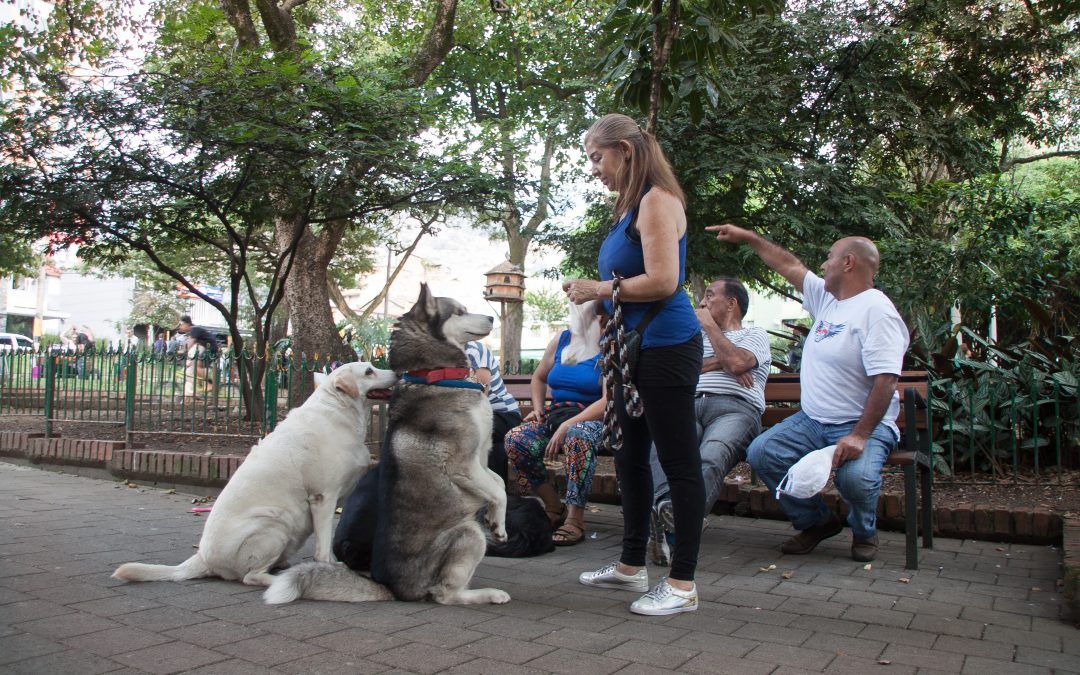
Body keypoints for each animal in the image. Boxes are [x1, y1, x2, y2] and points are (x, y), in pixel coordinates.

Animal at [111, 360, 399, 587]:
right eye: (369, 371)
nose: (397, 372)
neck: (339, 409)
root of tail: (202, 557)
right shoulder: (323, 497)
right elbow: (324, 544)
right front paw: (329, 565)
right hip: (275, 524)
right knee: (250, 576)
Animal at [265, 285, 509, 604]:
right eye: (459, 311)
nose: (492, 318)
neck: (436, 375)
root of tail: (391, 586)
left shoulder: (482, 457)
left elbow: (499, 483)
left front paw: (494, 518)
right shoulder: (464, 465)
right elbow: (500, 491)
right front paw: (500, 524)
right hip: (468, 533)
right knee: (444, 594)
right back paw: (488, 594)